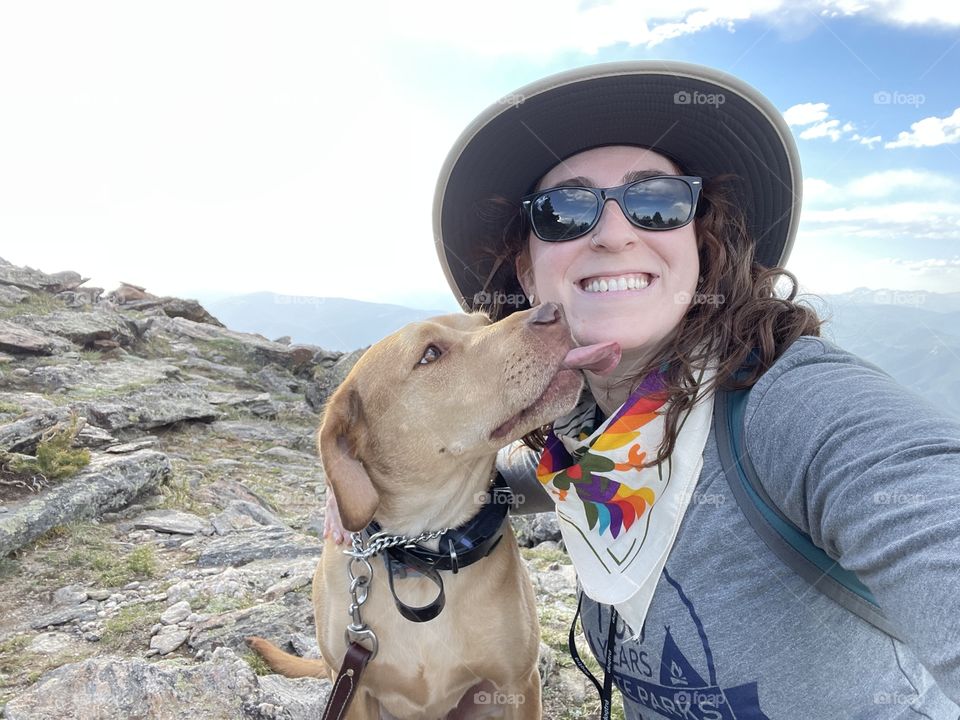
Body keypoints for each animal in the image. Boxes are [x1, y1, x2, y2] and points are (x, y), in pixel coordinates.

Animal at [249, 304, 608, 720]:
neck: (426, 551)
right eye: (430, 354)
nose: (552, 311)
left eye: (486, 322)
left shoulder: (518, 684)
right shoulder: (354, 687)